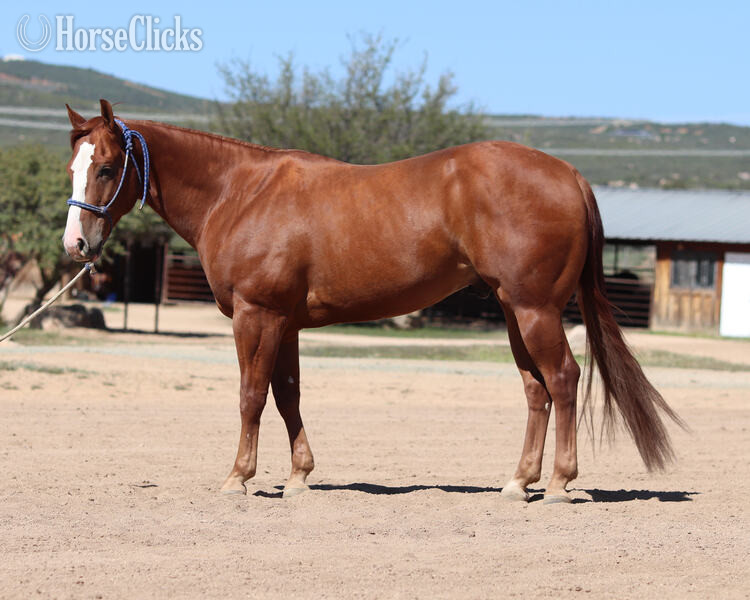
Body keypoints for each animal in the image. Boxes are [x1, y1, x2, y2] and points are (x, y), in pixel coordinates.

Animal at [61, 99, 682, 503]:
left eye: (107, 167)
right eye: (73, 166)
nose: (76, 245)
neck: (240, 193)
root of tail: (568, 173)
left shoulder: (257, 316)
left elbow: (250, 397)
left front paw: (239, 477)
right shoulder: (286, 323)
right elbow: (287, 395)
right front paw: (299, 476)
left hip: (536, 310)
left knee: (562, 379)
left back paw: (557, 484)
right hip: (515, 312)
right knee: (536, 389)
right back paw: (517, 482)